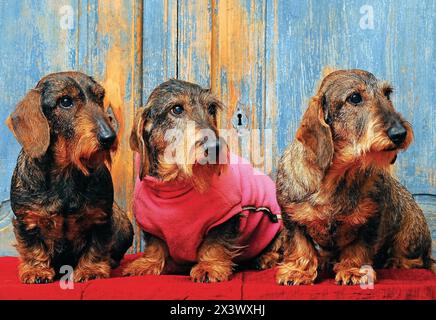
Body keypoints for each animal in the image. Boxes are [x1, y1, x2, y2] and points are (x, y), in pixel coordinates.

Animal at [5, 72, 133, 282]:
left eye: (99, 97)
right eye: (65, 101)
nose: (109, 138)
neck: (66, 172)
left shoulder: (100, 218)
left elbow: (96, 247)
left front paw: (91, 270)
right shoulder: (27, 219)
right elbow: (33, 247)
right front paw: (37, 270)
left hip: (123, 223)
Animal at [276, 69, 432, 284]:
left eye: (387, 93)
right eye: (355, 98)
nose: (400, 134)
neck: (339, 176)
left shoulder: (370, 221)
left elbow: (358, 249)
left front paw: (353, 271)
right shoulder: (291, 218)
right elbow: (300, 246)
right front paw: (298, 271)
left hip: (408, 236)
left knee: (413, 259)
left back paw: (394, 261)